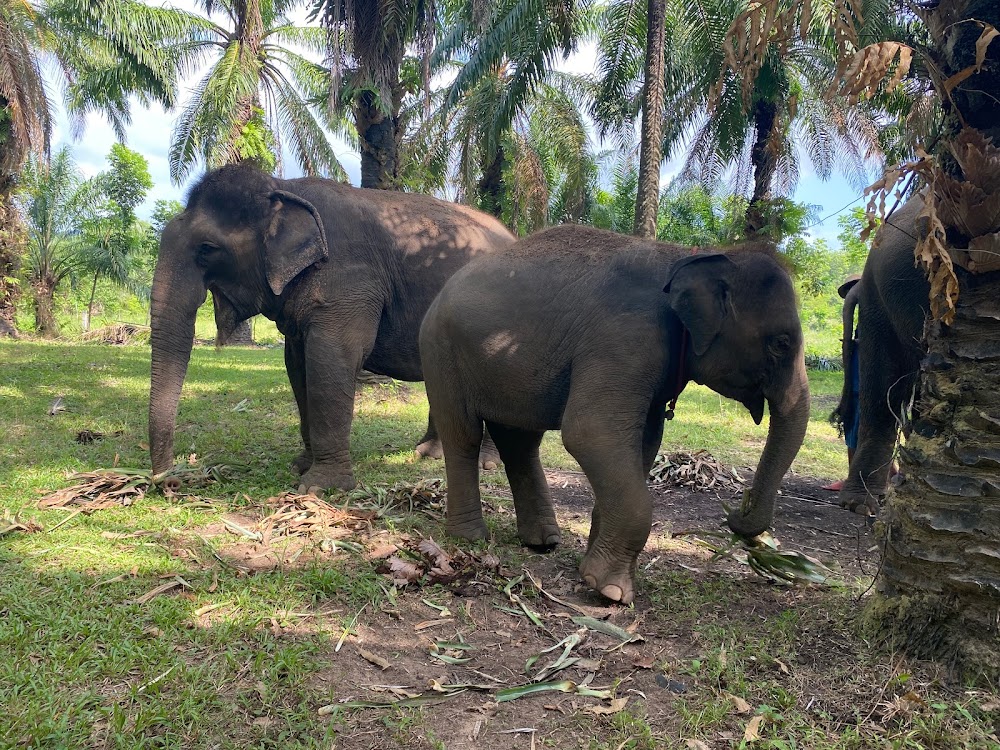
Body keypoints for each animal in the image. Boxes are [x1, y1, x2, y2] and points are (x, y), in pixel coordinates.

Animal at [152, 164, 520, 494]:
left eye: (207, 249)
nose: (171, 480)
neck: (282, 185)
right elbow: (297, 364)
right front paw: (301, 466)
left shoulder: (349, 282)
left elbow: (332, 358)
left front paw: (318, 488)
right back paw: (428, 453)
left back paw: (487, 463)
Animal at [422, 225, 812, 604]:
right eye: (781, 343)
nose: (736, 512)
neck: (695, 255)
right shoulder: (625, 337)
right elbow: (590, 431)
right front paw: (611, 591)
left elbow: (645, 443)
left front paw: (591, 570)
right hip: (442, 353)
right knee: (464, 436)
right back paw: (471, 537)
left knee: (521, 442)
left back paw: (543, 541)